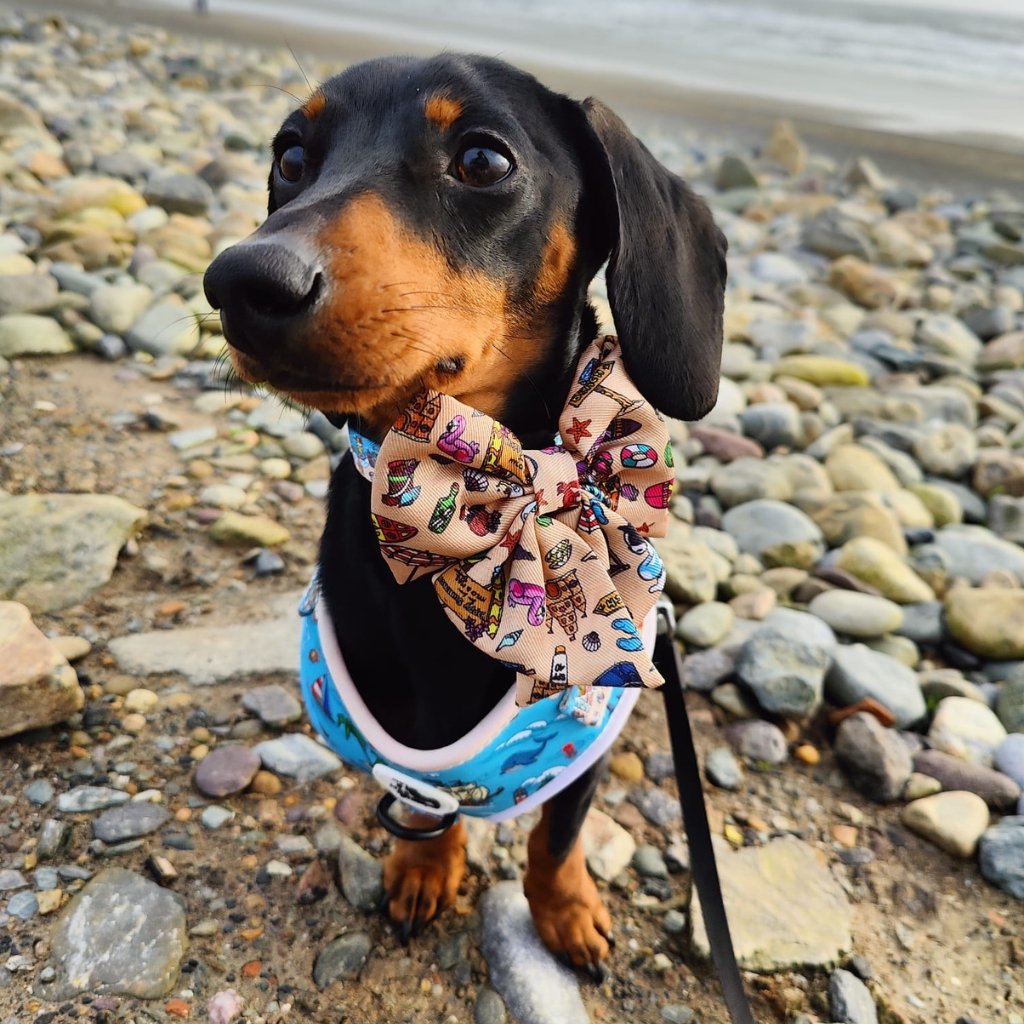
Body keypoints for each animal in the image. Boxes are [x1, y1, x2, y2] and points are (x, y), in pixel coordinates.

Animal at [203, 53, 726, 977]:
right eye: (291, 157)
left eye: (483, 160)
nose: (243, 281)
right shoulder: (399, 744)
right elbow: (421, 799)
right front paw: (422, 867)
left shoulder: (588, 733)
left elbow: (558, 836)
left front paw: (565, 911)